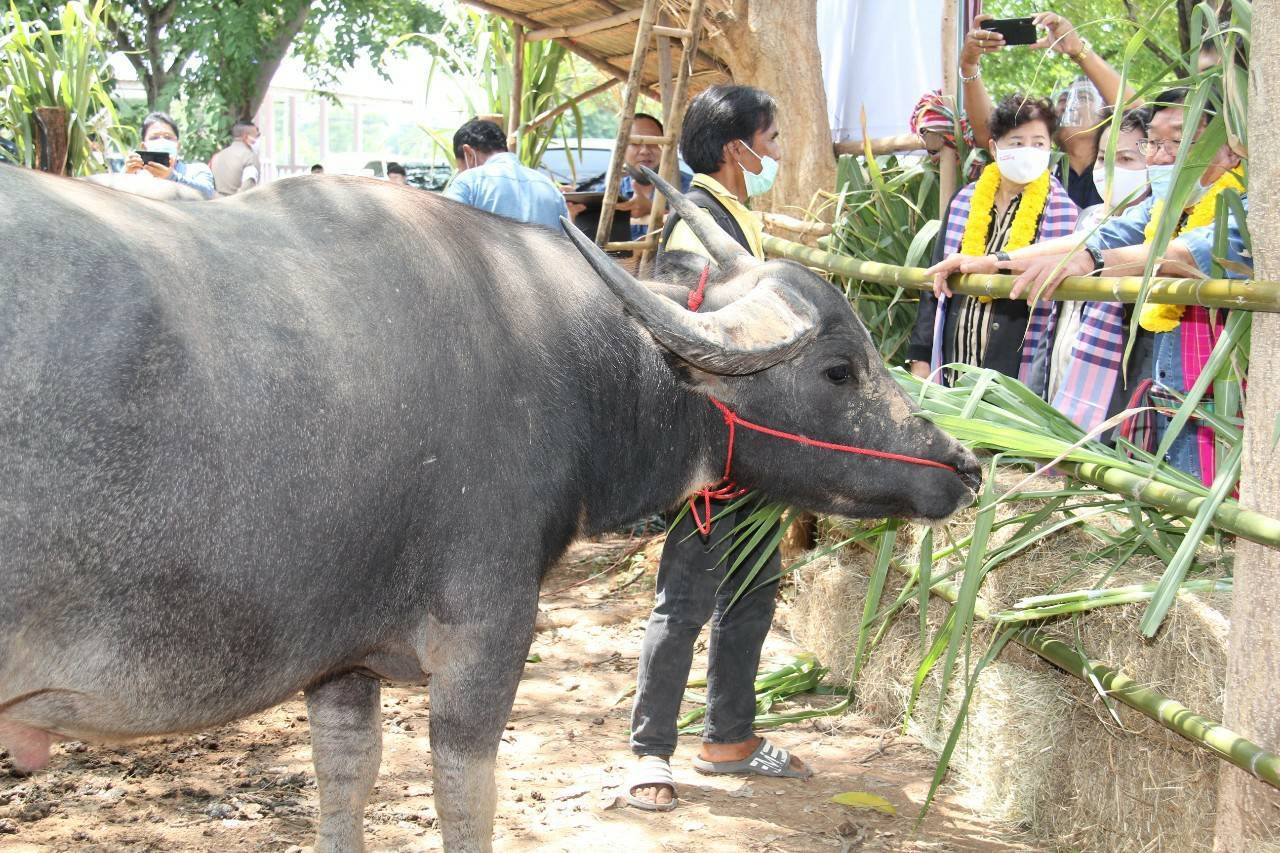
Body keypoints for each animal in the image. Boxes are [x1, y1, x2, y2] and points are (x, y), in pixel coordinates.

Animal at [0, 162, 977, 845]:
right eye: (839, 369)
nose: (963, 463)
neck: (570, 361)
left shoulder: (340, 660)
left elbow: (346, 782)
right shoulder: (488, 634)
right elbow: (466, 798)